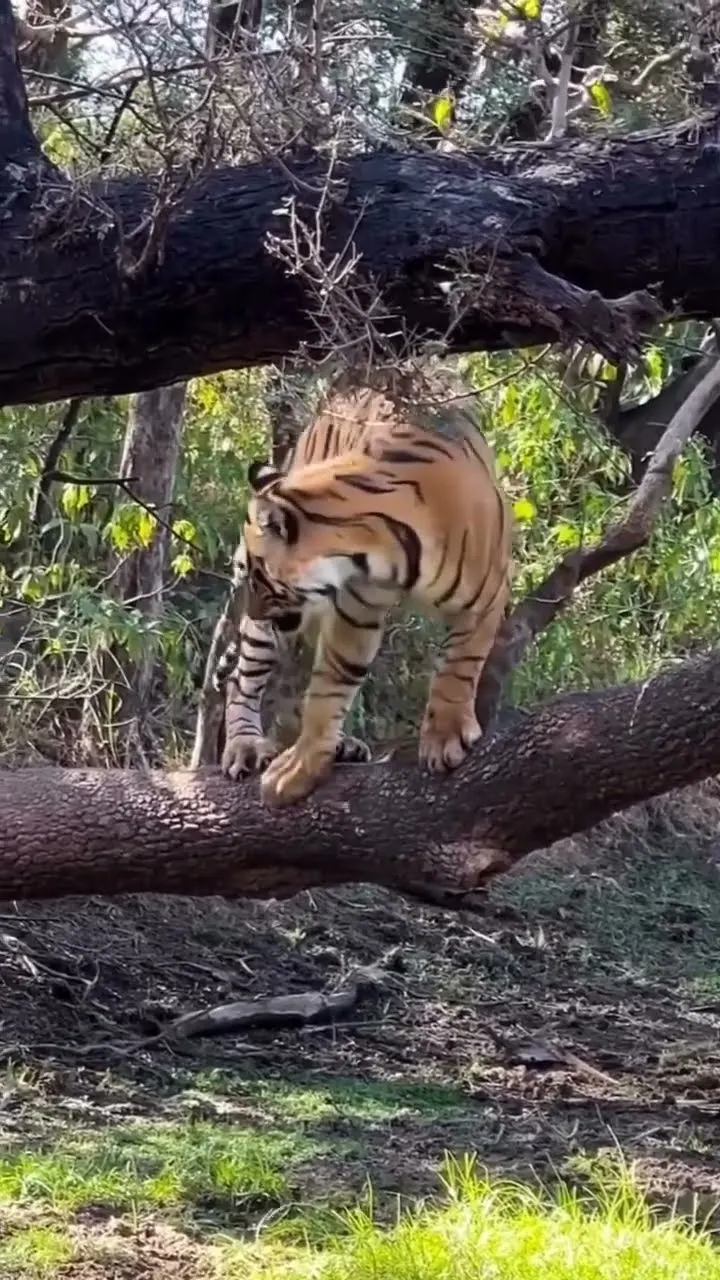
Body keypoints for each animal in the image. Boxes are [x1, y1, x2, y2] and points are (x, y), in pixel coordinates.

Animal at [213, 382, 513, 808]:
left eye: (256, 575)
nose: (254, 609)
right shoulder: (356, 611)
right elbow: (328, 689)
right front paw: (300, 767)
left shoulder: (485, 595)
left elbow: (458, 668)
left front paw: (444, 737)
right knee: (243, 677)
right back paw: (245, 745)